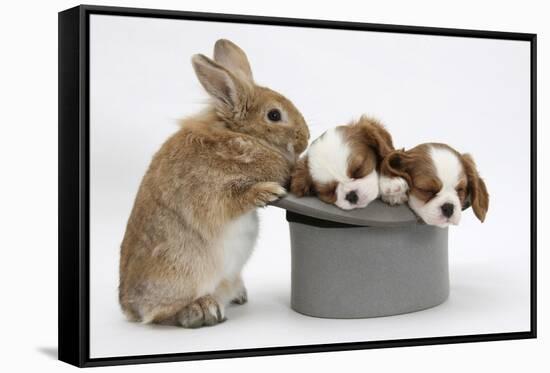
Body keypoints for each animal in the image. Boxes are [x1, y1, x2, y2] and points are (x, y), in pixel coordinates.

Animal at [119, 39, 310, 326]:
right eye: (274, 115)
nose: (305, 138)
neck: (238, 134)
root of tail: (129, 308)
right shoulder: (211, 192)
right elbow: (236, 199)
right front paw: (267, 193)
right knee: (161, 313)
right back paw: (202, 309)